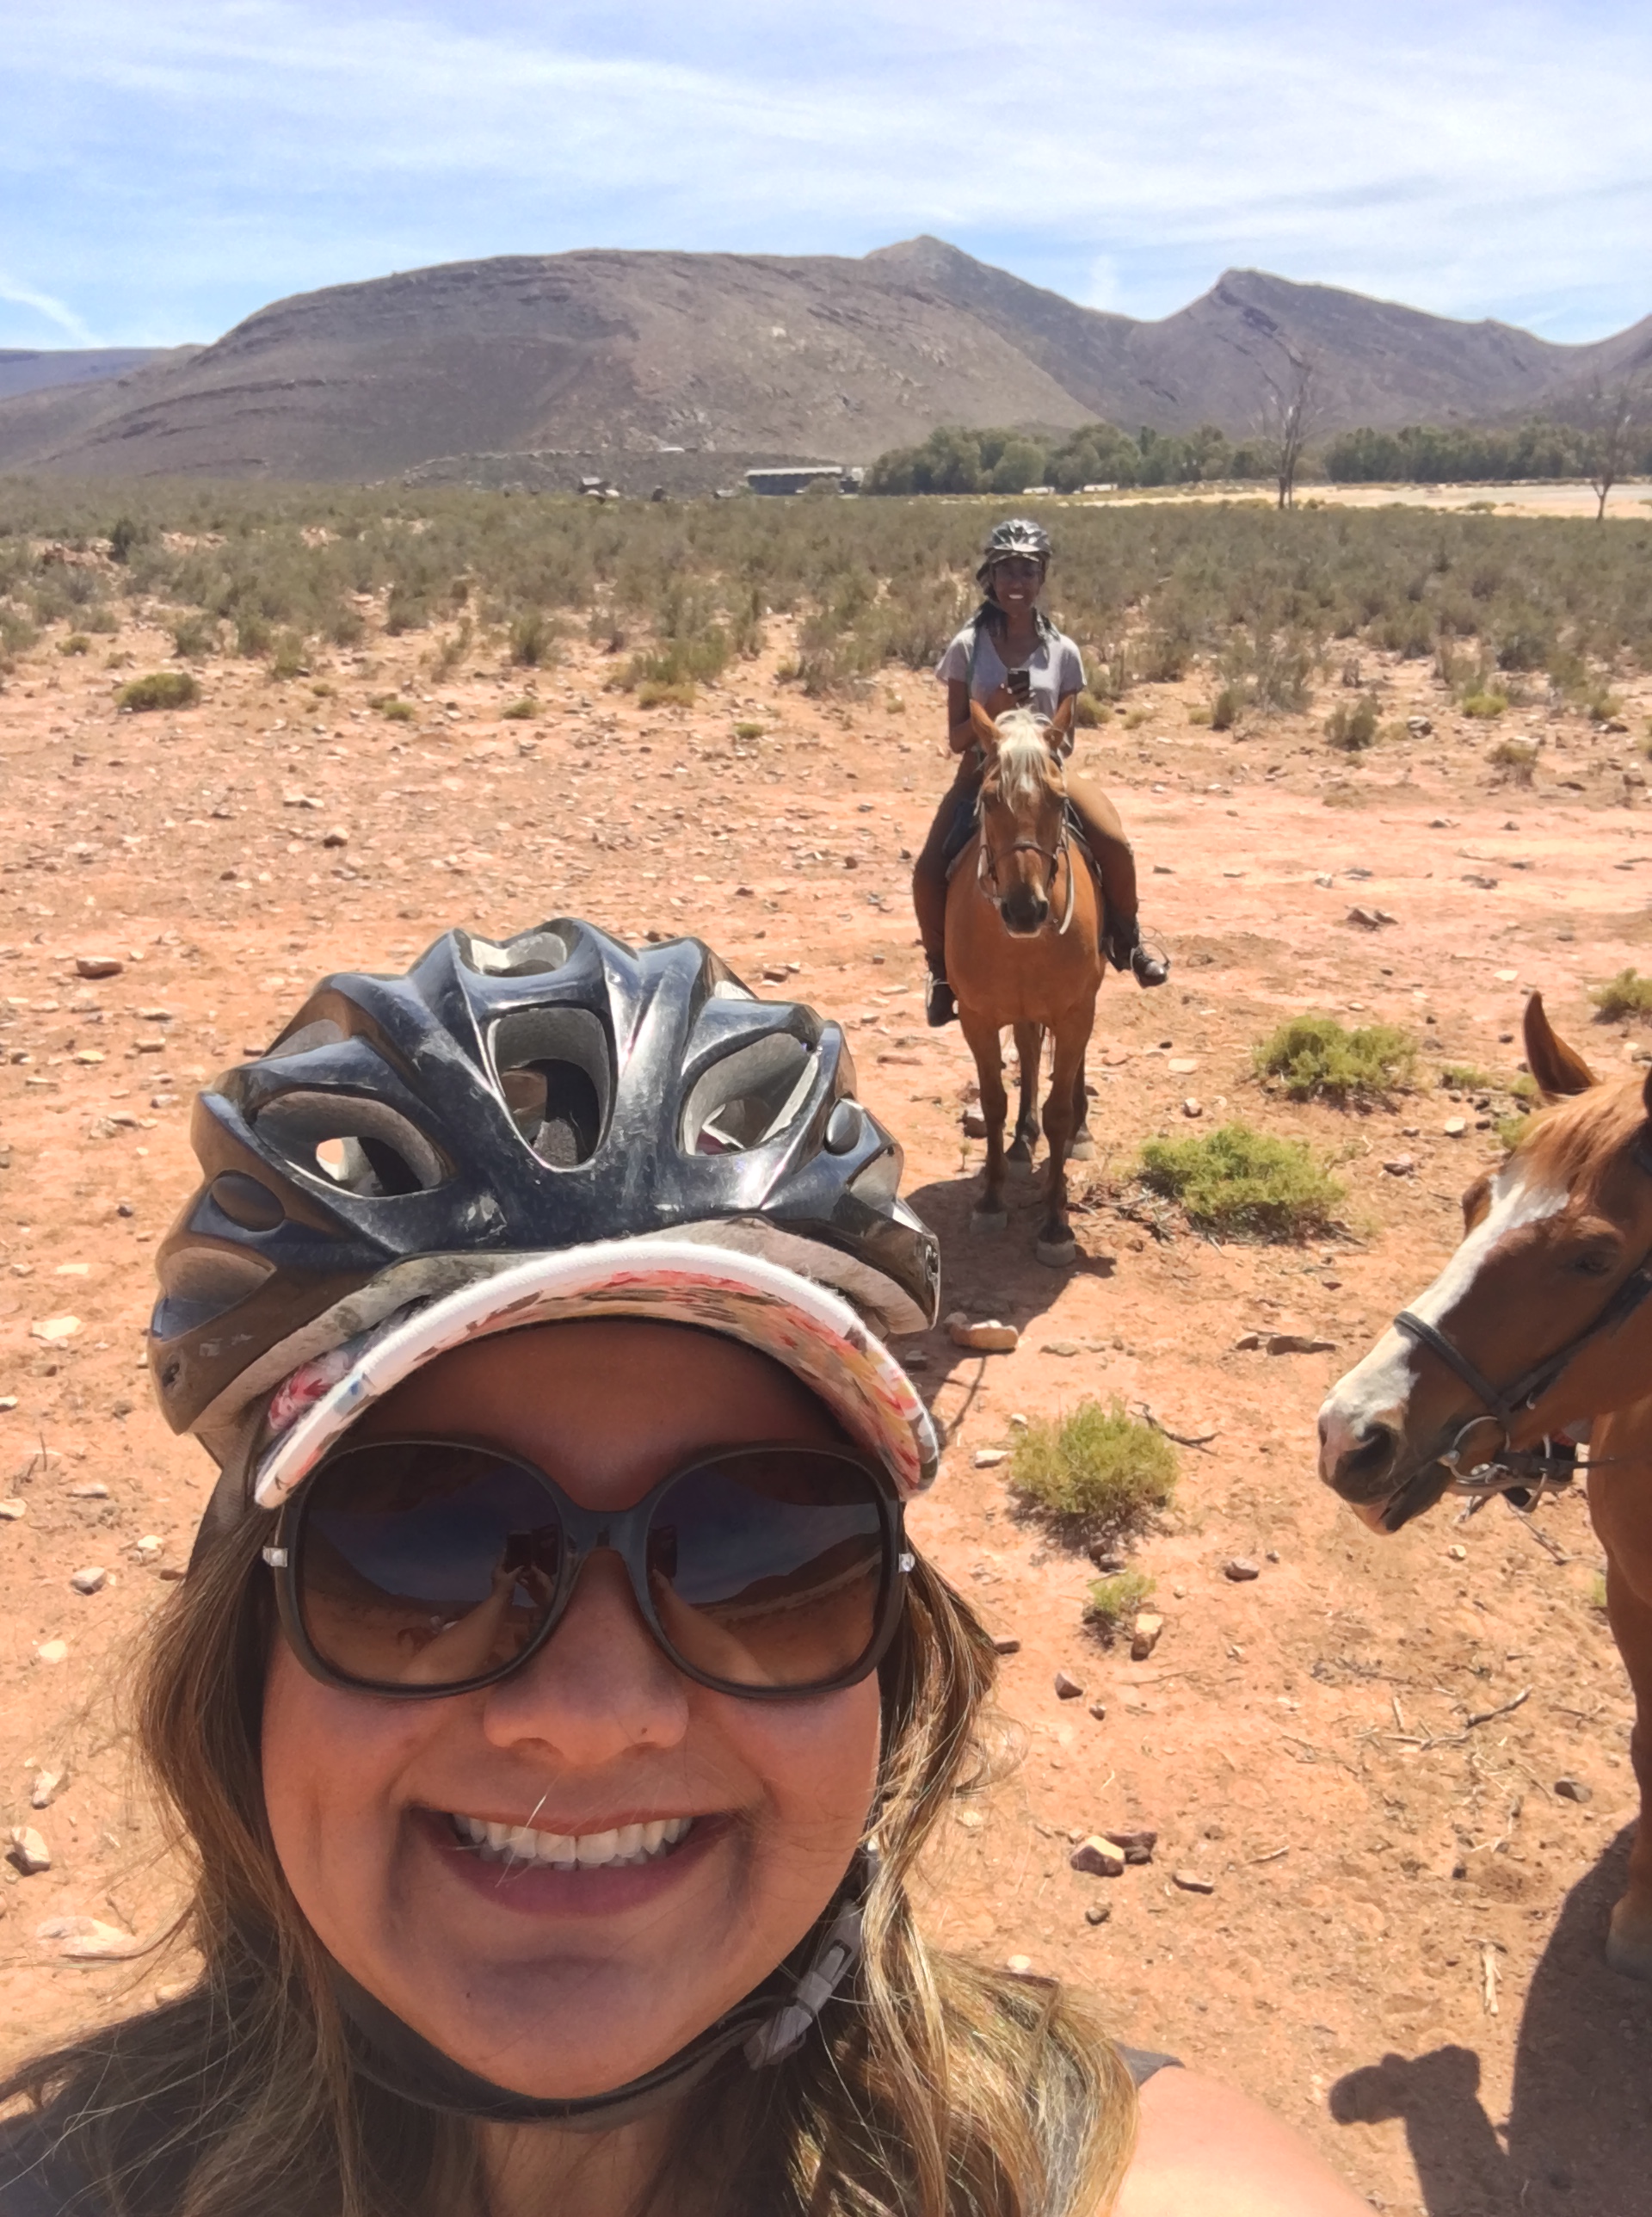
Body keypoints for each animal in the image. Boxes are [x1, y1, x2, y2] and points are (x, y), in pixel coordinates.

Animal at [944, 700, 1105, 1267]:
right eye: (990, 799)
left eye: (1059, 800)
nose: (1025, 909)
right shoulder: (977, 1017)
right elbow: (993, 1103)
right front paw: (991, 1199)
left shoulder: (1075, 1012)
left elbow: (1059, 1110)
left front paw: (1056, 1224)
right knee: (1032, 1055)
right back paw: (1020, 1142)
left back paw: (1079, 1131)